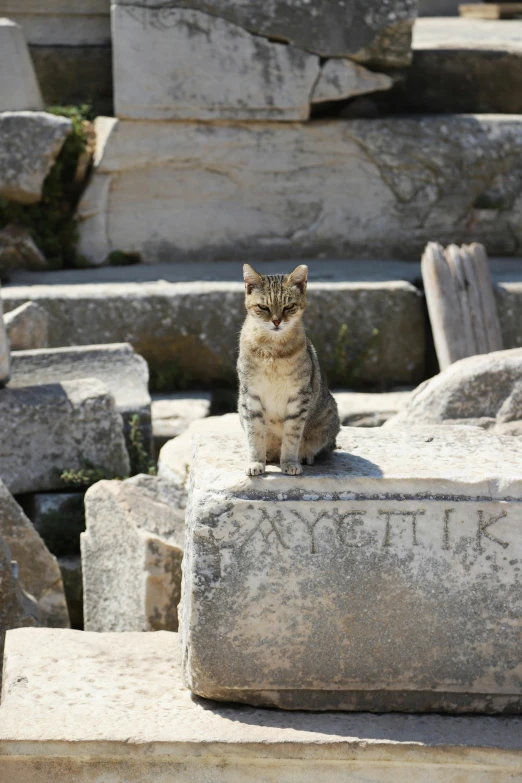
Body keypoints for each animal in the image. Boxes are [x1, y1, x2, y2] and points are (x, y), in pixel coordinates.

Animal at [238, 262, 340, 478]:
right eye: (263, 307)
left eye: (288, 306)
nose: (276, 321)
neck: (272, 350)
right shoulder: (250, 396)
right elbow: (255, 435)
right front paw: (255, 462)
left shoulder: (298, 398)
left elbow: (292, 437)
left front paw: (290, 462)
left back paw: (305, 456)